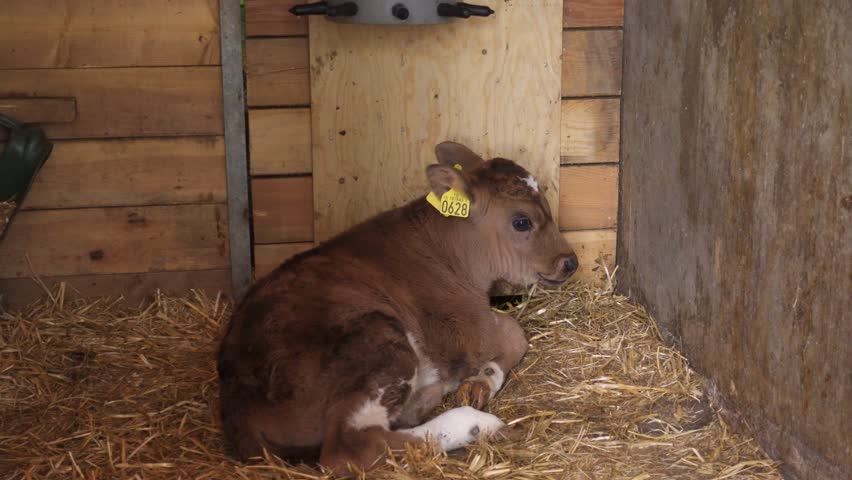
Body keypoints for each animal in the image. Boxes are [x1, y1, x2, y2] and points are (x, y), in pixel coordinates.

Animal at [217, 141, 579, 476]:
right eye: (522, 222)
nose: (571, 262)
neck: (451, 253)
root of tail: (238, 408)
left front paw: (478, 380)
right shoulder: (465, 327)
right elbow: (515, 333)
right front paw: (480, 380)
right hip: (378, 342)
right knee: (351, 448)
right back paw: (476, 423)